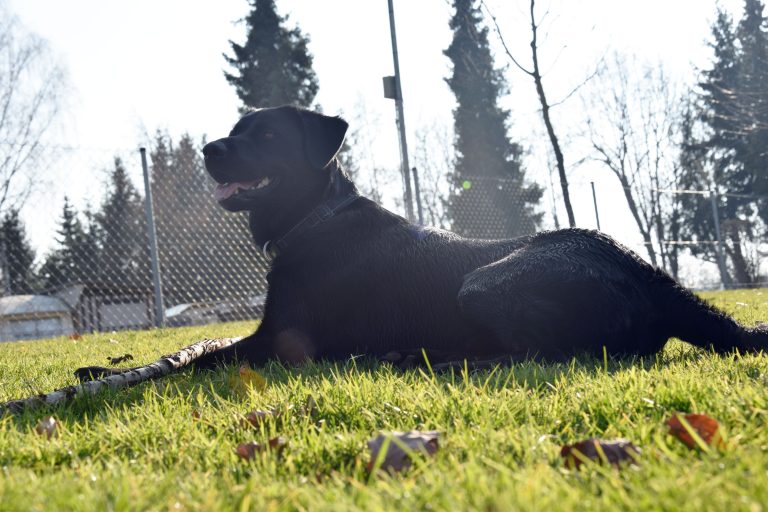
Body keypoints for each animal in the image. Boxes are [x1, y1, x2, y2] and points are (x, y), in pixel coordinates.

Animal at [195, 105, 764, 368]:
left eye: (269, 135)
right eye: (236, 128)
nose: (209, 148)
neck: (317, 216)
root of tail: (652, 276)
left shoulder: (284, 339)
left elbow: (204, 358)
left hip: (484, 283)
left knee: (544, 355)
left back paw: (433, 361)